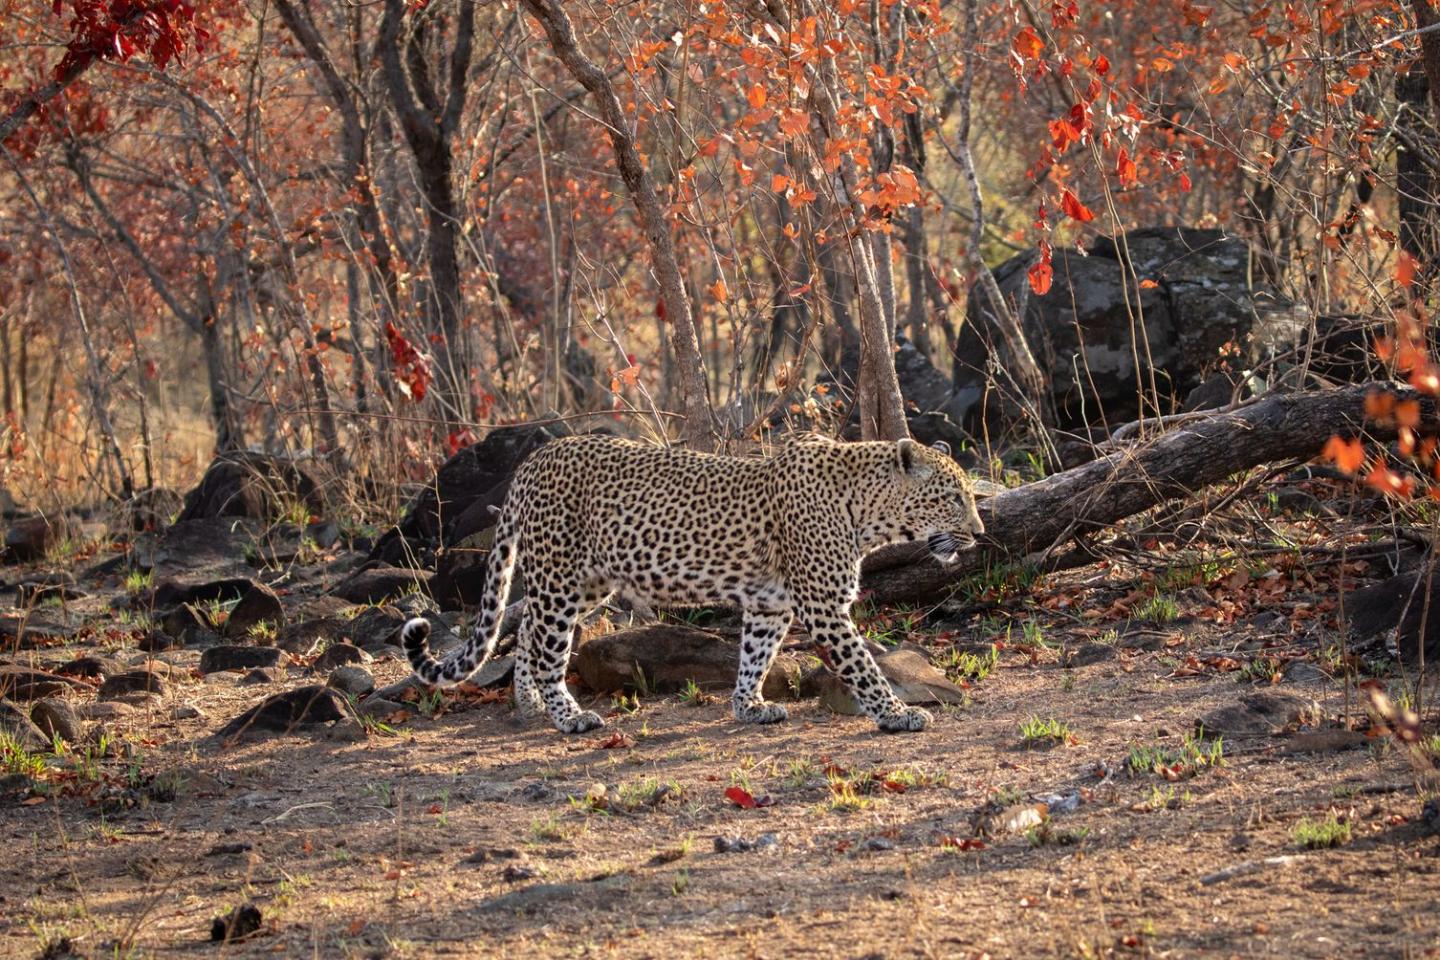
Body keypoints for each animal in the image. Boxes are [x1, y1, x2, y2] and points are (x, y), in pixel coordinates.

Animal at [401, 432, 984, 734]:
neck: (868, 513)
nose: (979, 533)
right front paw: (896, 713)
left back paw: (530, 706)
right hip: (560, 578)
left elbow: (756, 655)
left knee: (526, 636)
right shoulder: (822, 604)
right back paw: (568, 716)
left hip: (586, 582)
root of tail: (533, 459)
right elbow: (862, 667)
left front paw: (749, 706)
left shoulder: (771, 604)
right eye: (951, 497)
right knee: (545, 649)